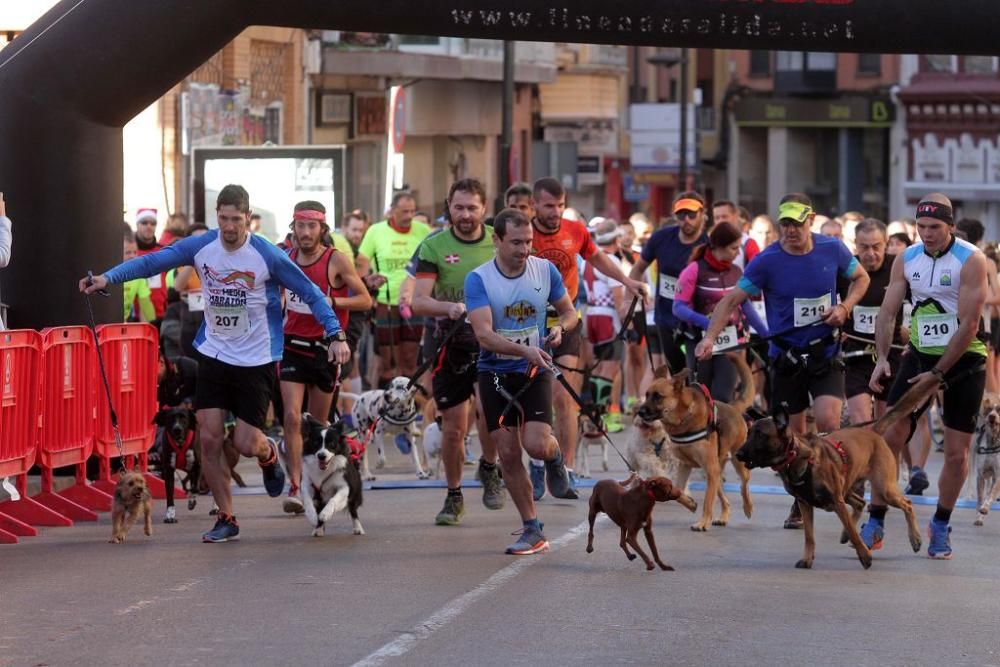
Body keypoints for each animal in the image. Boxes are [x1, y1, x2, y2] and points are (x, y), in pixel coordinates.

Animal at [636, 350, 752, 532]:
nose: (639, 412)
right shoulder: (686, 466)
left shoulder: (709, 468)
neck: (683, 418)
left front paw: (703, 522)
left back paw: (747, 507)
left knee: (744, 485)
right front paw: (690, 504)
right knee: (724, 498)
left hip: (735, 463)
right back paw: (723, 516)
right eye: (647, 395)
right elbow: (677, 490)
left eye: (658, 397)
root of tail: (733, 407)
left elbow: (707, 502)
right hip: (715, 472)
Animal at [736, 378, 936, 572]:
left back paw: (915, 539)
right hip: (846, 490)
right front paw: (807, 559)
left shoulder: (836, 501)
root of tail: (871, 431)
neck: (796, 457)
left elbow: (854, 532)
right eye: (749, 433)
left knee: (907, 504)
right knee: (860, 503)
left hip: (883, 489)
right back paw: (845, 533)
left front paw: (865, 556)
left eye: (760, 435)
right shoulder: (806, 504)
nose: (738, 454)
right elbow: (809, 536)